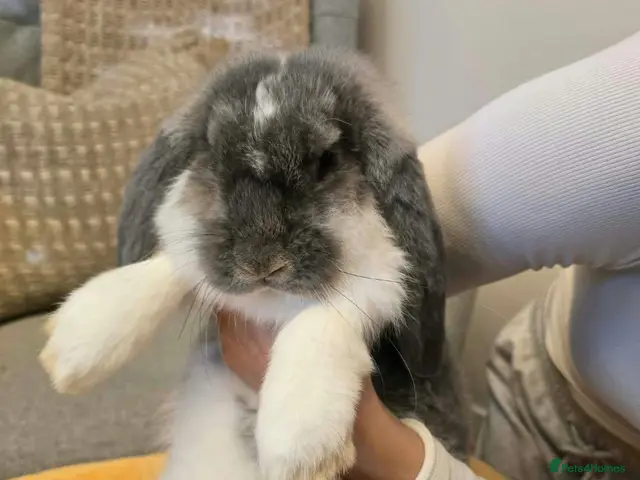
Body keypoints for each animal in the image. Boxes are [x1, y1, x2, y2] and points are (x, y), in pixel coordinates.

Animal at [42, 47, 468, 480]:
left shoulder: (378, 281)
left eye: (327, 160)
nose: (261, 261)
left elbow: (326, 318)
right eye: (212, 153)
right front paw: (70, 349)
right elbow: (171, 265)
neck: (269, 304)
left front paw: (299, 448)